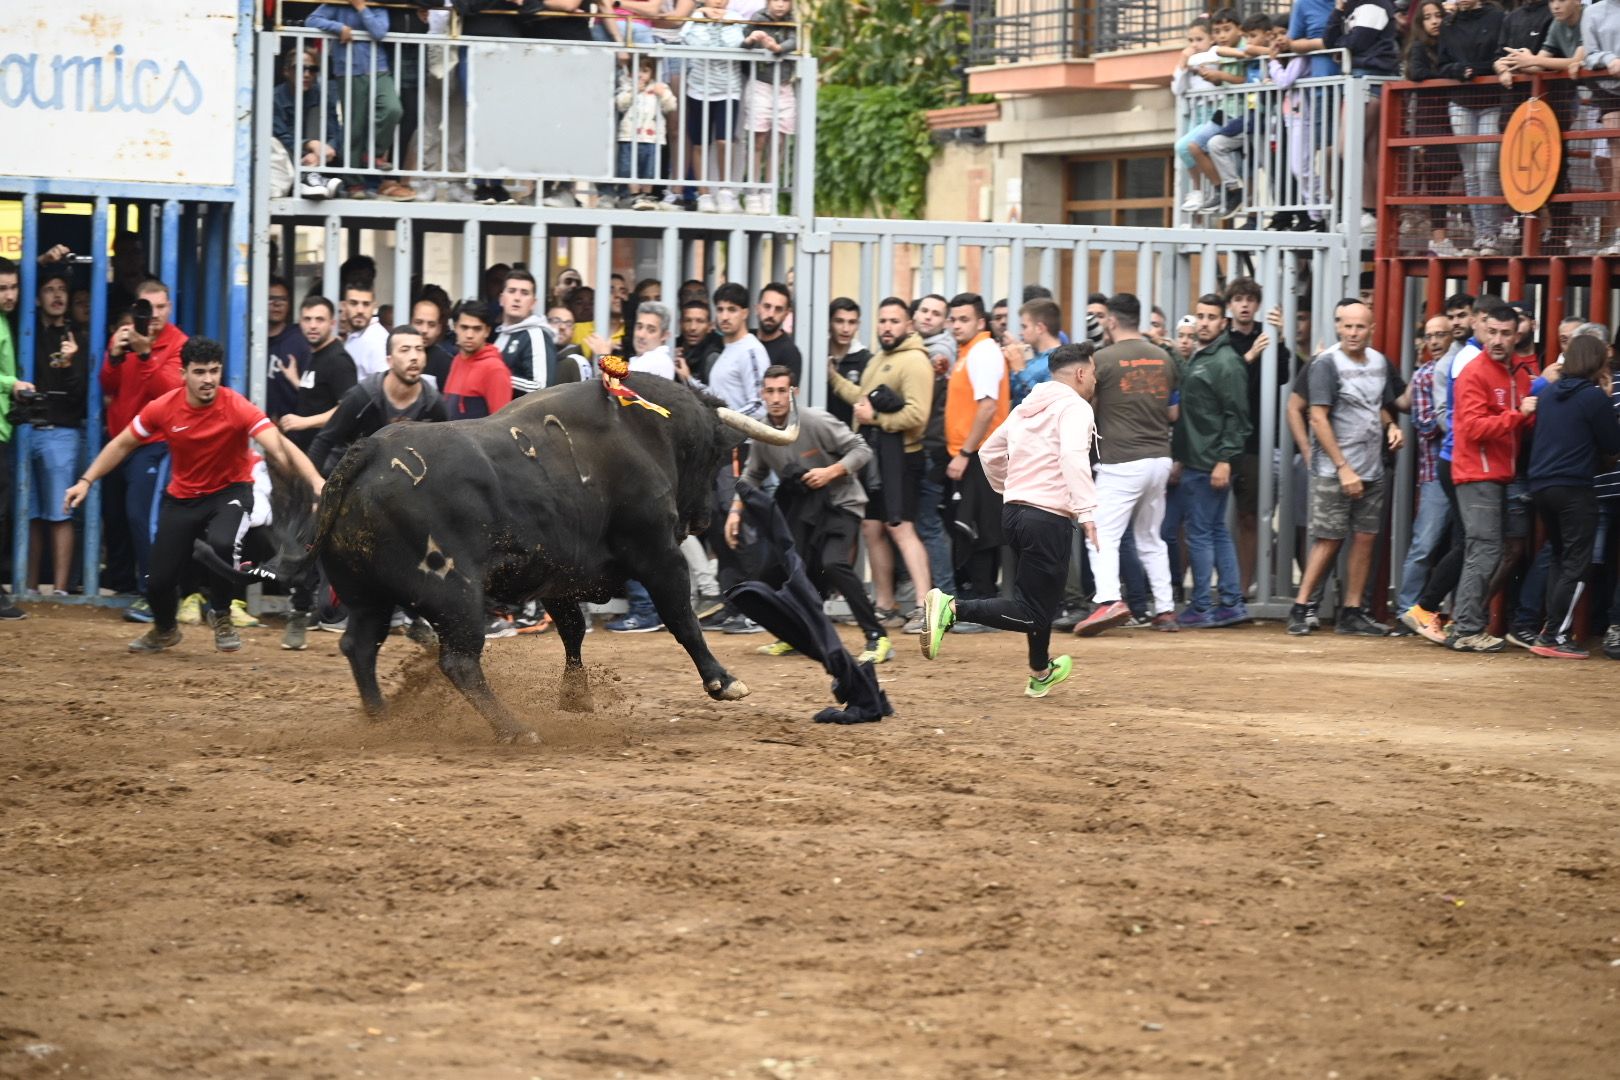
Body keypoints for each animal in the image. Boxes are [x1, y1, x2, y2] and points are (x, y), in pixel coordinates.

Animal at [268, 374, 793, 744]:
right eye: (713, 455)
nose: (703, 518)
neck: (641, 432)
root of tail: (369, 450)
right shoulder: (658, 555)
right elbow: (682, 619)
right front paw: (723, 682)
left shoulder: (560, 575)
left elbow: (574, 630)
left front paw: (576, 698)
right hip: (455, 596)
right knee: (458, 662)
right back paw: (515, 729)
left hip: (367, 598)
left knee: (359, 646)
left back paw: (382, 717)